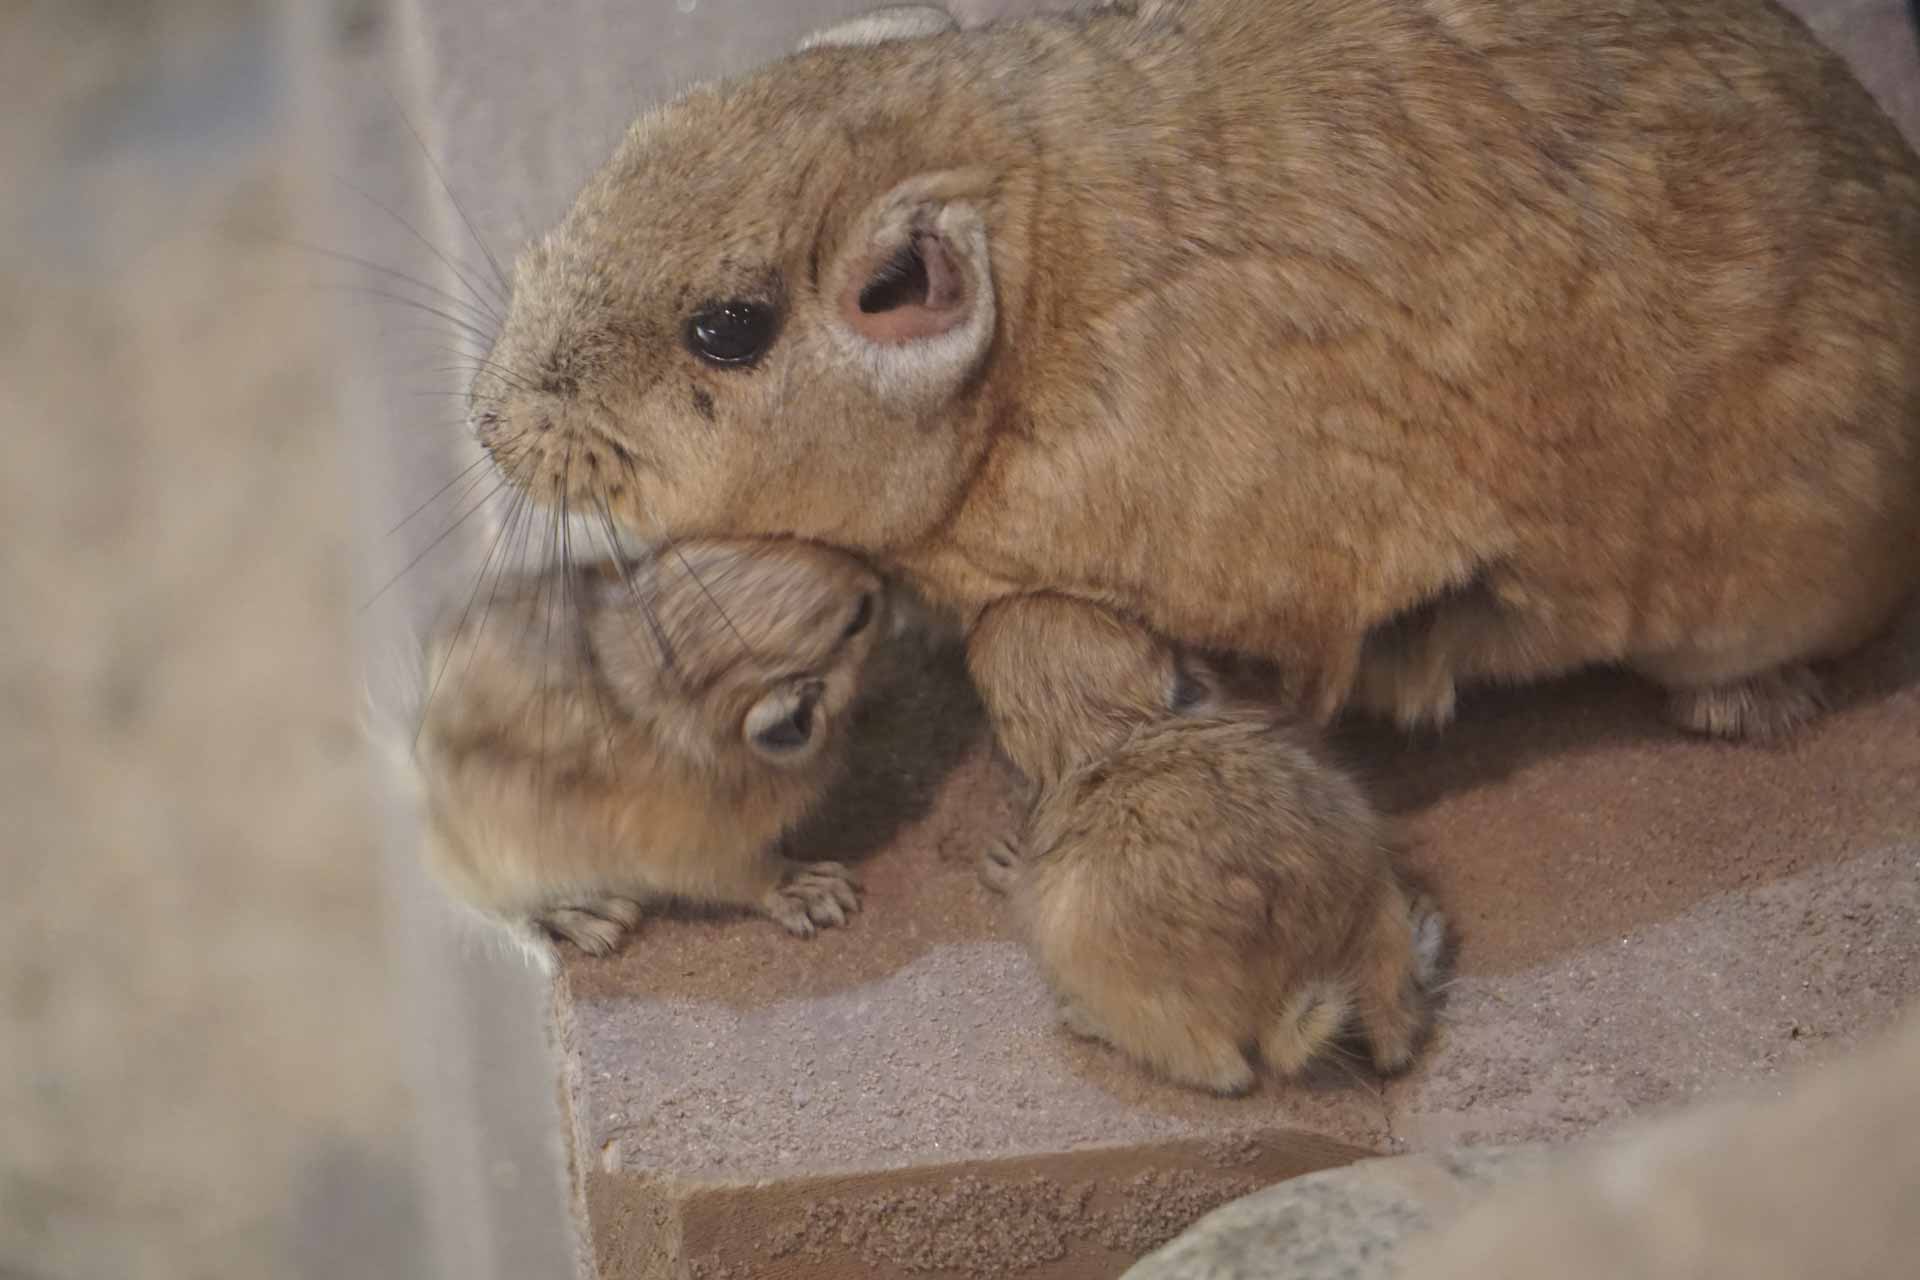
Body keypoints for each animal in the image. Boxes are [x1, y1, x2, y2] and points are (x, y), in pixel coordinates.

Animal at [408, 539, 889, 959]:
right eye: (858, 618)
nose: (878, 576)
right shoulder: (699, 849)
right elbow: (751, 877)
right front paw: (815, 890)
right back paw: (595, 919)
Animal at [971, 594, 1447, 1094]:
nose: (990, 611)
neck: (1114, 732)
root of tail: (1291, 984)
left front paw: (1004, 861)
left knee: (1223, 1073)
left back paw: (1082, 1017)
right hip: (1381, 919)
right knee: (1395, 1034)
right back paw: (1424, 923)